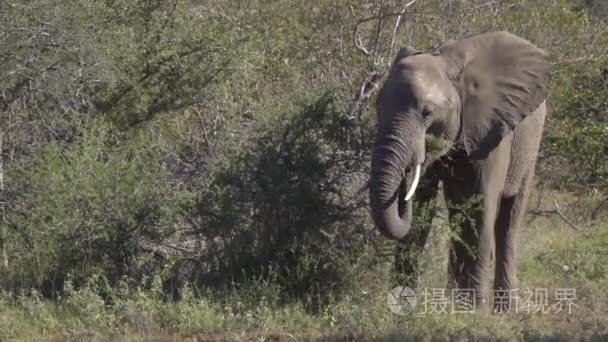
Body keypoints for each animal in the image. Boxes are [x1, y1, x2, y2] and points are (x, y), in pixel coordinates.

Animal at [368, 32, 552, 312]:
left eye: (427, 113)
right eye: (377, 107)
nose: (406, 176)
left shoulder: (490, 131)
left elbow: (481, 208)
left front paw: (474, 312)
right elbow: (423, 207)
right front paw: (402, 306)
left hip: (531, 144)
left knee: (508, 220)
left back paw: (503, 309)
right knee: (458, 213)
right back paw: (453, 299)